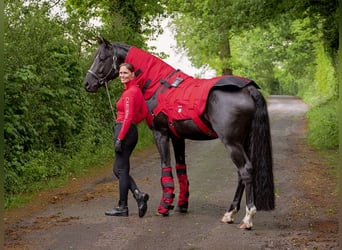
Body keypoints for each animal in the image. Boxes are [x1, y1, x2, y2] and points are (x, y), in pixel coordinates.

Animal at [84, 37, 274, 230]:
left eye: (102, 58)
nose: (87, 83)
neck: (156, 85)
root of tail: (247, 89)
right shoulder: (177, 136)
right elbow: (181, 169)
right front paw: (182, 204)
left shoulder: (160, 133)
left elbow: (165, 168)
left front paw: (164, 206)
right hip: (243, 142)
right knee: (240, 174)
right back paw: (230, 213)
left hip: (232, 143)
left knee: (246, 170)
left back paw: (247, 217)